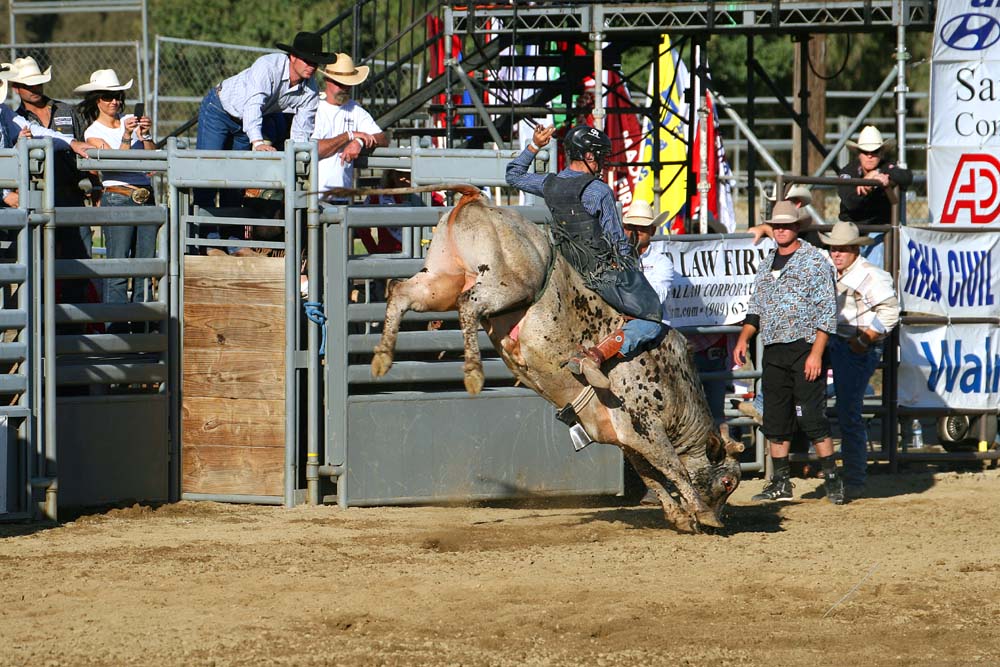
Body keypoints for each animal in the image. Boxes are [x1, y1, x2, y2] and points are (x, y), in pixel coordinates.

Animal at [336, 183, 744, 532]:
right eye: (727, 481)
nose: (723, 517)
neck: (675, 383)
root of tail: (479, 200)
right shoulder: (645, 426)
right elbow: (672, 468)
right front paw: (703, 514)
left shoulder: (624, 435)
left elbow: (651, 475)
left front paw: (680, 516)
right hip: (505, 285)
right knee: (469, 305)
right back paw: (472, 373)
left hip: (439, 281)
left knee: (400, 292)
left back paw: (383, 358)